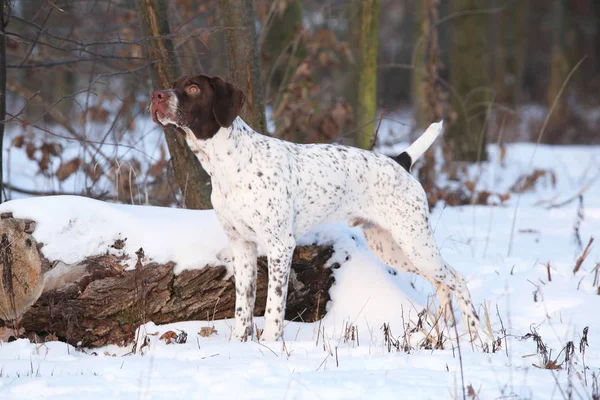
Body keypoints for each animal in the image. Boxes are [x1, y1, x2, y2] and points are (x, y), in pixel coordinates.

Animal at [151, 74, 482, 340]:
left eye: (193, 88)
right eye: (173, 83)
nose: (157, 96)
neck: (228, 164)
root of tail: (400, 161)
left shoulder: (280, 246)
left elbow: (273, 308)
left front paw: (270, 345)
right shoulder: (241, 246)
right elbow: (243, 309)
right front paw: (239, 346)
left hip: (415, 243)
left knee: (458, 280)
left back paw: (479, 336)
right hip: (394, 247)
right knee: (442, 284)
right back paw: (444, 331)